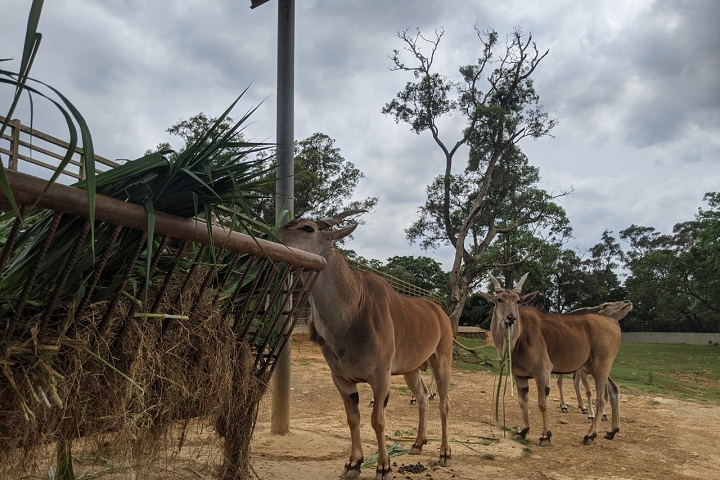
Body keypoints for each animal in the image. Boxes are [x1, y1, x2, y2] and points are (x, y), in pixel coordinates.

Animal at [276, 211, 450, 480]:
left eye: (307, 228)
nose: (272, 235)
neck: (353, 309)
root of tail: (440, 313)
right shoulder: (341, 378)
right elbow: (353, 418)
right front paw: (353, 464)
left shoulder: (380, 377)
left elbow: (377, 420)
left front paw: (383, 467)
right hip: (411, 370)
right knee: (422, 398)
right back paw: (418, 444)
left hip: (441, 361)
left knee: (443, 403)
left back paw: (444, 453)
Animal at [484, 274, 624, 446]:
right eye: (499, 299)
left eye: (517, 301)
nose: (511, 318)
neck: (518, 340)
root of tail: (614, 322)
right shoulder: (519, 376)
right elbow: (523, 402)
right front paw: (523, 431)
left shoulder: (543, 372)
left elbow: (543, 404)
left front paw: (545, 436)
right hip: (593, 367)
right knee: (614, 390)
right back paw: (612, 431)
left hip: (601, 365)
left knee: (602, 398)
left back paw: (590, 435)